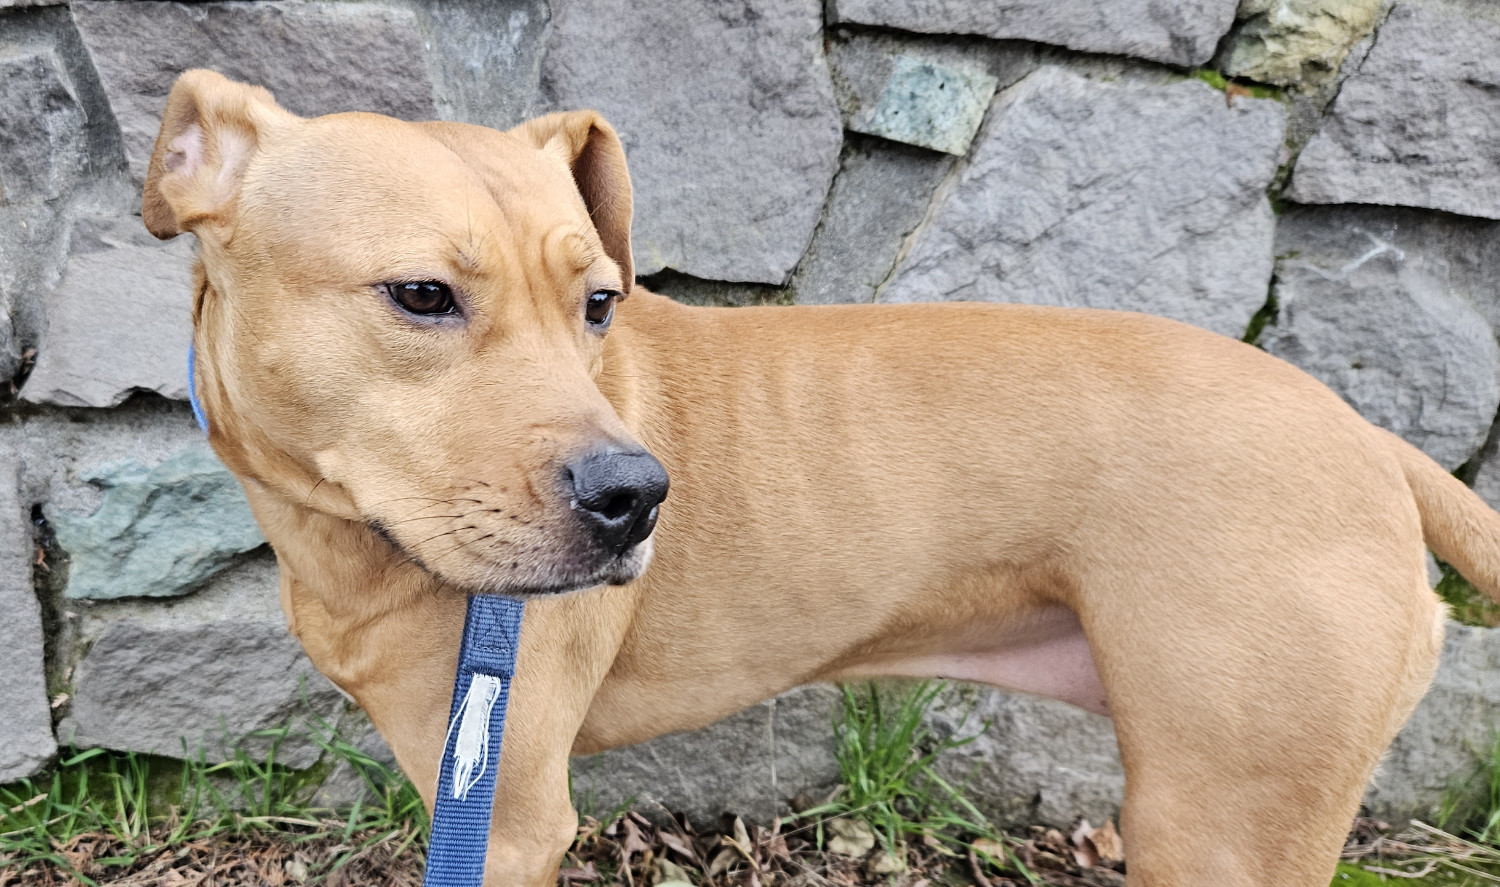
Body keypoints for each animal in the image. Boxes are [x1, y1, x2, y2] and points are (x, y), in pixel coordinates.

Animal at [138, 71, 1500, 887]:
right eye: (421, 294)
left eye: (598, 305)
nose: (637, 494)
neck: (344, 527)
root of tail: (1365, 433)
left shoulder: (506, 814)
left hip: (1224, 821)